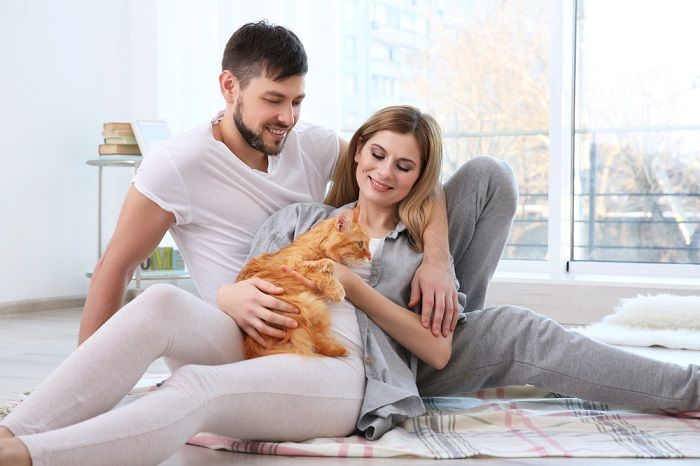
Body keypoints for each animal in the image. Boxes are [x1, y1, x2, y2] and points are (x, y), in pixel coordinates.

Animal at [238, 208, 372, 360]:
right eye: (360, 244)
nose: (370, 257)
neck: (317, 245)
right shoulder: (291, 266)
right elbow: (320, 268)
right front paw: (336, 289)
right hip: (309, 306)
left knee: (316, 341)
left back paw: (340, 351)